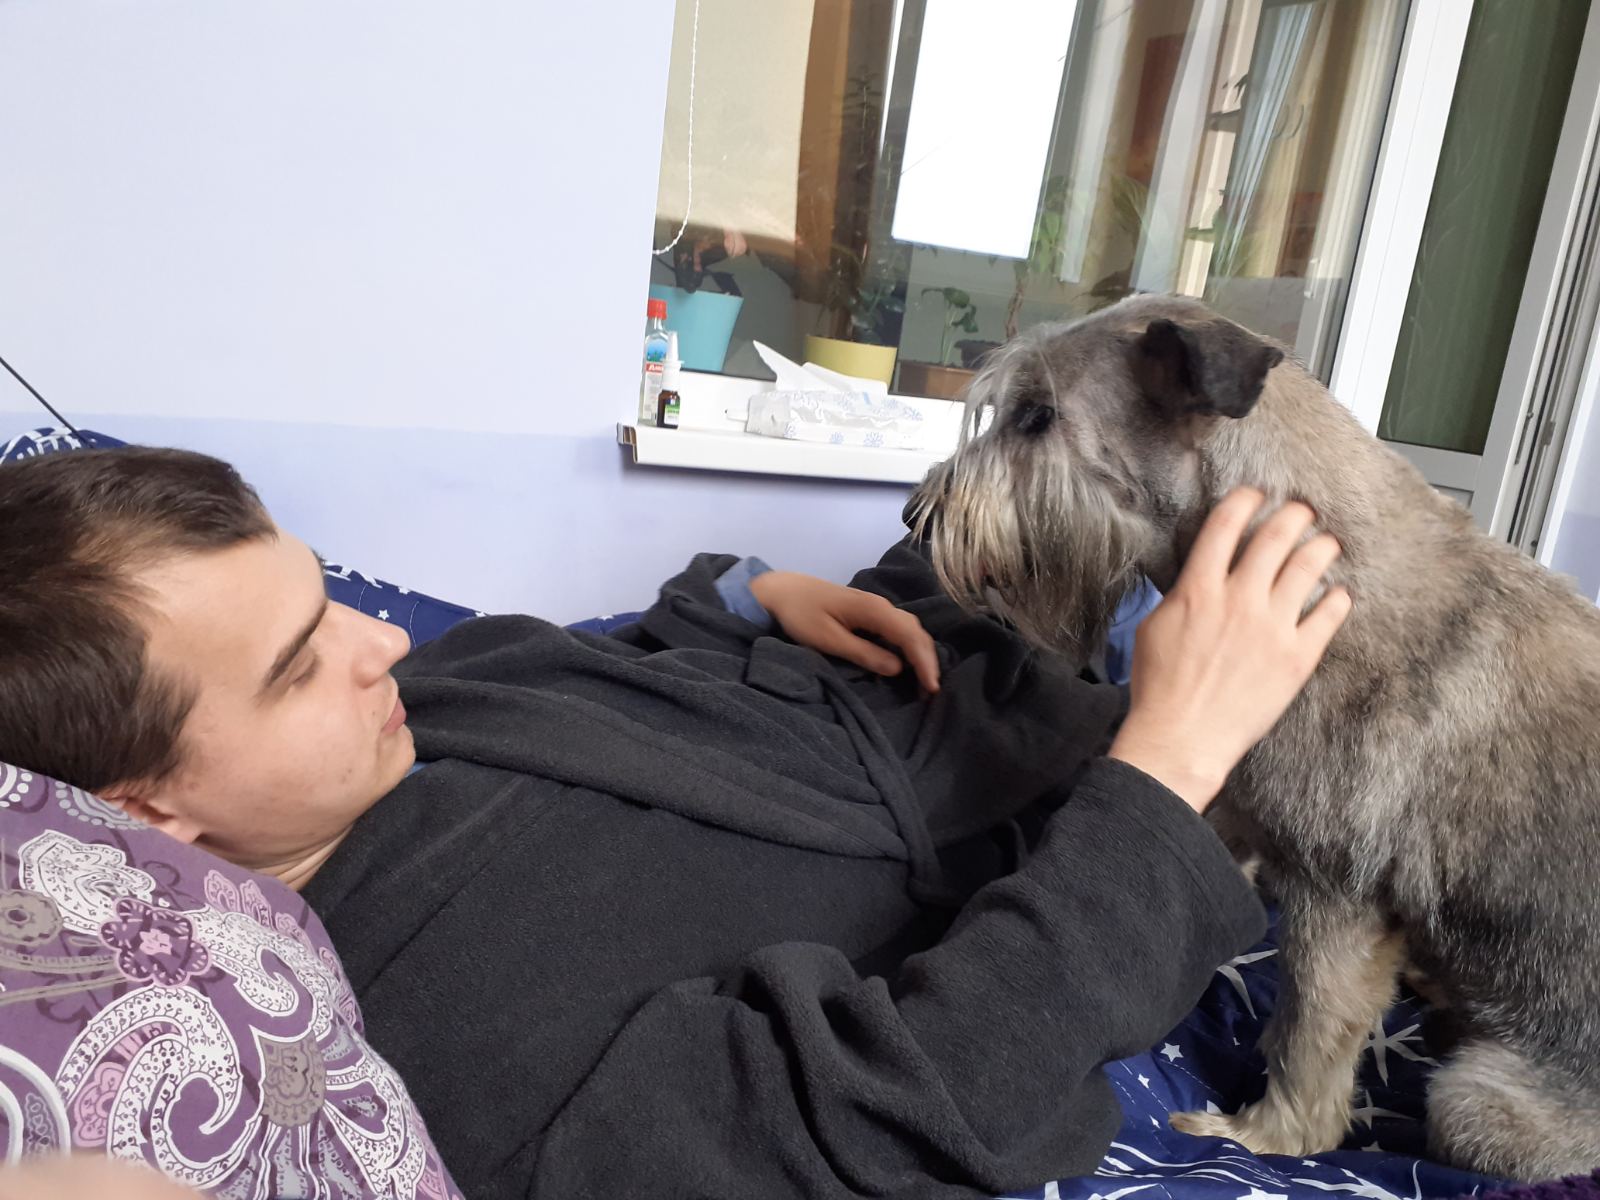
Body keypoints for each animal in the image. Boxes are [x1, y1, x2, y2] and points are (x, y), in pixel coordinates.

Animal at [910, 294, 1600, 1180]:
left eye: (1035, 416)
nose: (914, 520)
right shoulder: (1230, 815)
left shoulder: (1333, 900)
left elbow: (1307, 1035)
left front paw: (1267, 1137)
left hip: (1474, 1100)